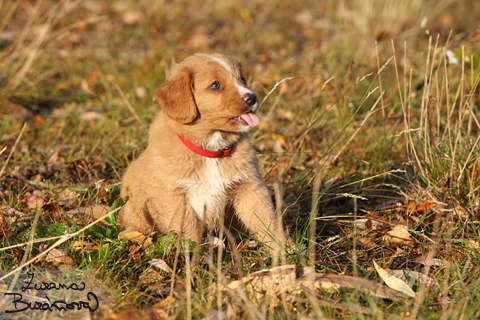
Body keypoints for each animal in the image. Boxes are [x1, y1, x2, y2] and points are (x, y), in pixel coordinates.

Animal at [118, 52, 284, 252]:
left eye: (242, 78)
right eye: (215, 85)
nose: (252, 98)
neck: (211, 150)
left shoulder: (250, 187)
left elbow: (266, 220)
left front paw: (284, 251)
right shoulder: (172, 196)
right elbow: (188, 232)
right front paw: (192, 257)